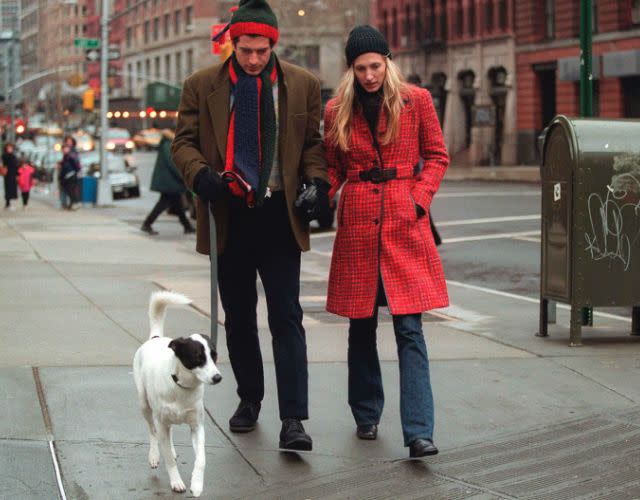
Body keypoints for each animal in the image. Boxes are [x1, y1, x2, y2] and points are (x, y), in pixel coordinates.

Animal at [132, 290, 220, 496]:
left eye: (214, 356)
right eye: (197, 357)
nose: (218, 377)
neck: (182, 387)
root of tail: (155, 338)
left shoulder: (197, 426)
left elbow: (201, 459)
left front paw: (196, 484)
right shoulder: (161, 420)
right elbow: (169, 460)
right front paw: (176, 482)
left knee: (168, 433)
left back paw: (170, 449)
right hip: (144, 405)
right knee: (153, 431)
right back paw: (154, 455)